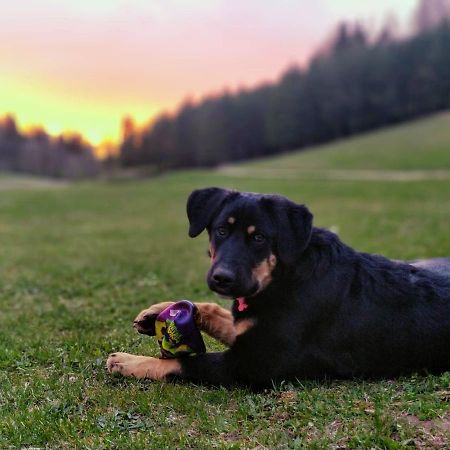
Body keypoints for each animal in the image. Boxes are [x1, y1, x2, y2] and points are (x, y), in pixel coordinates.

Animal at [106, 186, 450, 386]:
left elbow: (185, 362)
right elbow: (213, 309)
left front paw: (130, 362)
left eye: (259, 238)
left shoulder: (250, 364)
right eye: (221, 231)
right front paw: (157, 312)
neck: (286, 276)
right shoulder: (248, 330)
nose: (222, 278)